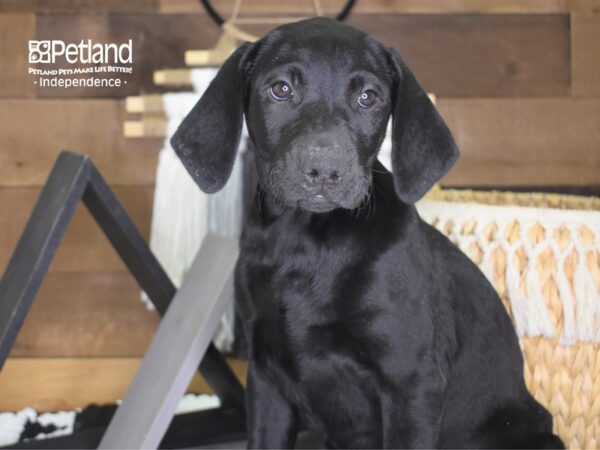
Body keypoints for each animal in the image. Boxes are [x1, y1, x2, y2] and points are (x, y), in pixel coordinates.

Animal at [172, 16, 564, 446]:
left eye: (368, 97)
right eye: (281, 89)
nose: (325, 170)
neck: (304, 244)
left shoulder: (411, 383)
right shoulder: (266, 381)